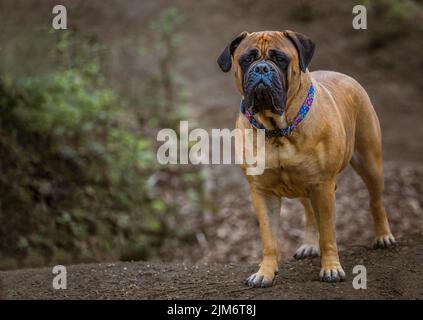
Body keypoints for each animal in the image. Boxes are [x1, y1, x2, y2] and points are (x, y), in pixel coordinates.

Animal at [219, 30, 398, 288]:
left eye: (280, 58)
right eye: (247, 59)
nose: (261, 68)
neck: (277, 129)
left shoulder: (322, 185)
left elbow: (328, 233)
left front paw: (331, 268)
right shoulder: (262, 192)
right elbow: (269, 238)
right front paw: (265, 272)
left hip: (369, 161)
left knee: (375, 200)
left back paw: (383, 236)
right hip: (304, 185)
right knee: (310, 213)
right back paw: (310, 245)